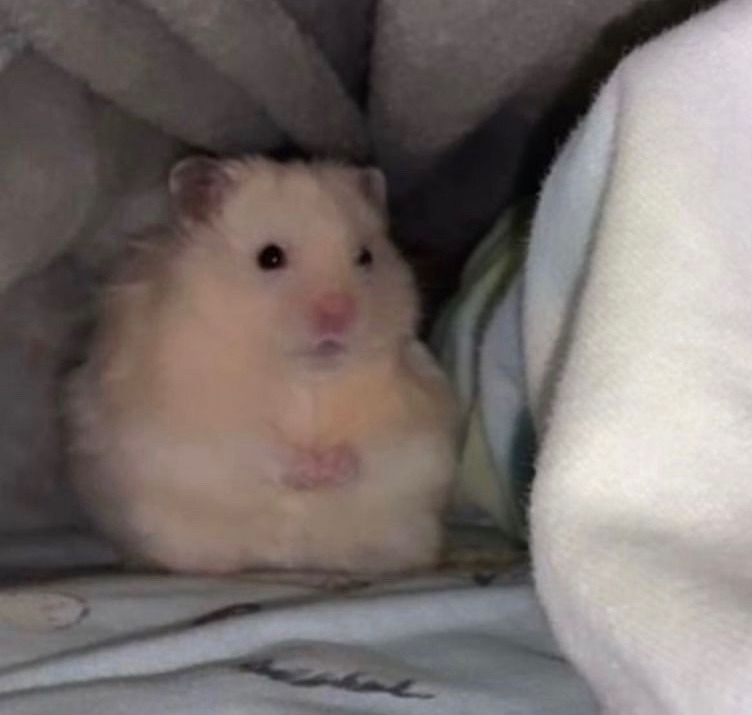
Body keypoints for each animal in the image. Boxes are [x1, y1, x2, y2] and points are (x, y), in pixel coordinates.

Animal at [65, 156, 458, 576]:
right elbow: (256, 449)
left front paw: (329, 467)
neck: (304, 374)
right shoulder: (200, 425)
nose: (339, 315)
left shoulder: (415, 414)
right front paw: (310, 471)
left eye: (366, 257)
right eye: (269, 257)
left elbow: (375, 451)